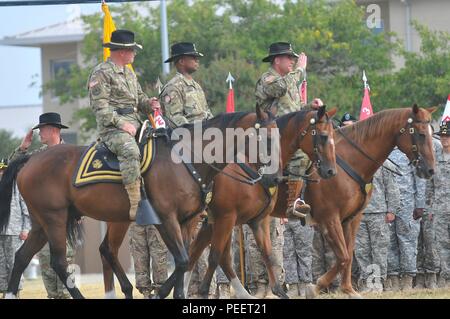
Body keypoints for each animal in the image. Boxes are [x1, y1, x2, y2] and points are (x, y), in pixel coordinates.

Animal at [0, 109, 278, 298]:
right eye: (265, 138)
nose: (274, 179)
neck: (185, 159)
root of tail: (31, 159)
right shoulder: (167, 219)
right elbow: (182, 260)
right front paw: (161, 293)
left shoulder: (188, 222)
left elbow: (186, 259)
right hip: (54, 218)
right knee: (59, 261)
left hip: (43, 223)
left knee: (23, 256)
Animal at [99, 106, 338, 298]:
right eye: (323, 136)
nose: (330, 171)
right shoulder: (222, 218)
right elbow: (210, 256)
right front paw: (198, 290)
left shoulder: (248, 220)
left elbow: (262, 254)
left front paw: (278, 290)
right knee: (109, 250)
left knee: (106, 250)